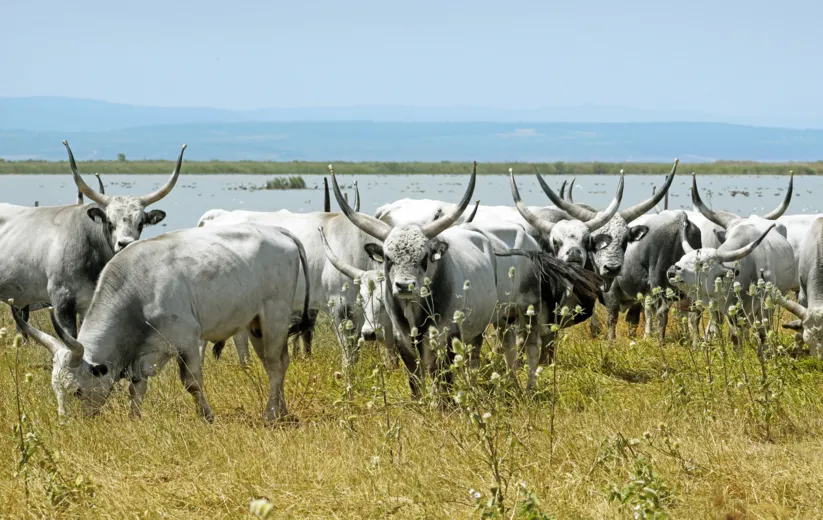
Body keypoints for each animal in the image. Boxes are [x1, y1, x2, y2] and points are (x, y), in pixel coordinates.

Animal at [9, 224, 312, 422]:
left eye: (76, 391)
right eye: (55, 390)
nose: (65, 425)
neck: (137, 290)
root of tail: (277, 230)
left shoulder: (188, 340)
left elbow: (192, 383)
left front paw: (207, 416)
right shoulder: (146, 352)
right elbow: (137, 386)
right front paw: (134, 418)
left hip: (275, 315)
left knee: (275, 365)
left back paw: (270, 415)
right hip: (255, 323)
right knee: (277, 364)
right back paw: (283, 411)